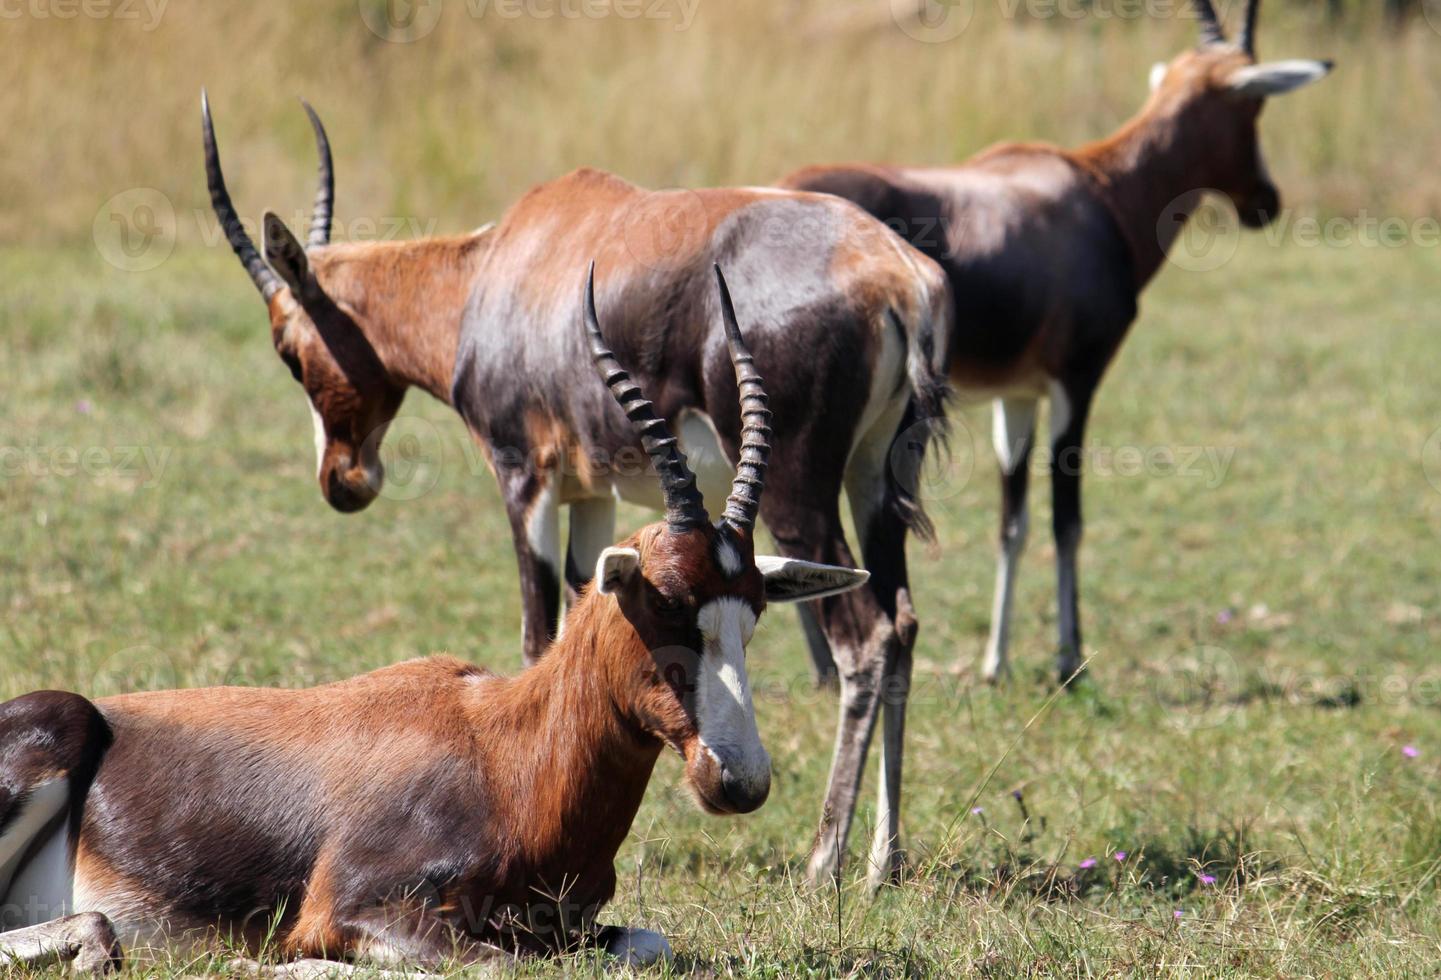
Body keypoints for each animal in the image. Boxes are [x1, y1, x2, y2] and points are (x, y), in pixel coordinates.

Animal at [0, 266, 864, 974]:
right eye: (666, 600)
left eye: (753, 614)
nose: (740, 779)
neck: (506, 752)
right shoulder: (350, 910)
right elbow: (482, 963)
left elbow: (644, 944)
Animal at [197, 93, 951, 887]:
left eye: (288, 348)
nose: (343, 480)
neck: (507, 263)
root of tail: (898, 276)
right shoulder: (595, 495)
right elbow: (578, 614)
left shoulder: (525, 478)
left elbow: (536, 635)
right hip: (872, 483)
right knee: (902, 624)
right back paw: (885, 858)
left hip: (798, 494)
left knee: (865, 638)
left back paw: (823, 858)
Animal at [783, 0, 1331, 686]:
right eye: (1254, 105)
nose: (1266, 201)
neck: (1096, 189)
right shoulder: (1078, 382)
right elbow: (1066, 520)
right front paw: (1070, 658)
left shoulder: (1017, 395)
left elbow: (1011, 524)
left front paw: (996, 661)